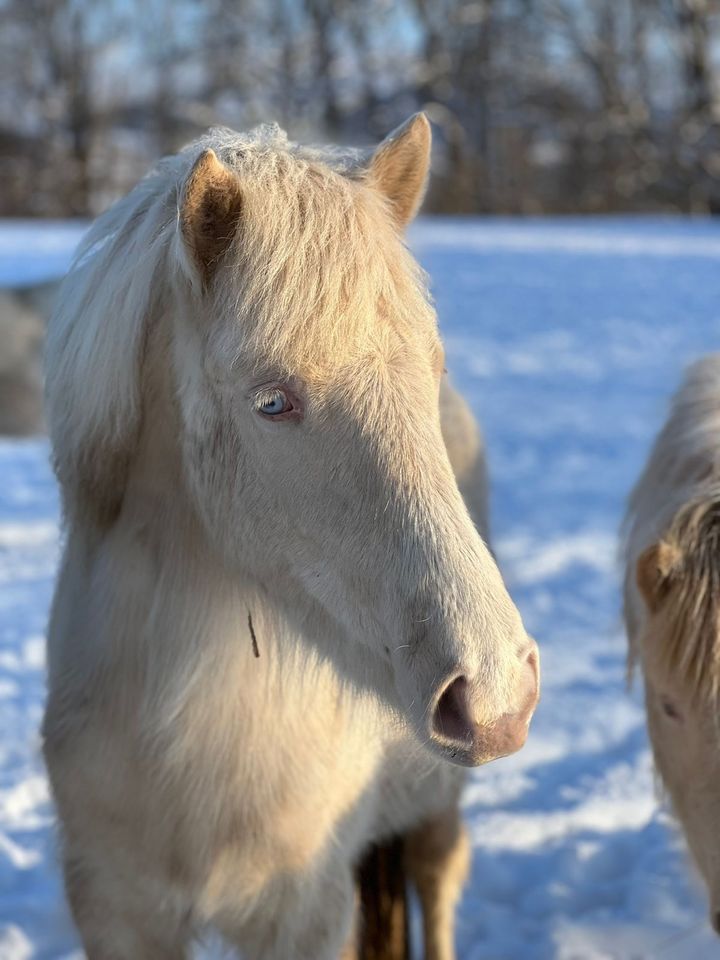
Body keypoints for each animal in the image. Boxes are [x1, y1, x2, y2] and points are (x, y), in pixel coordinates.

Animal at [43, 116, 540, 956]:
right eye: (272, 402)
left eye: (431, 370)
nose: (496, 691)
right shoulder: (113, 908)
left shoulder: (304, 913)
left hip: (436, 805)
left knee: (437, 875)